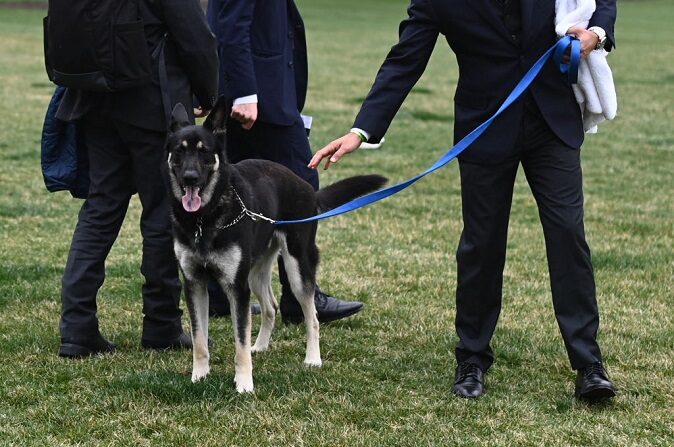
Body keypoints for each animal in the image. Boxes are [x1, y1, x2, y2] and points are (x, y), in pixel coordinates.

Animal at [163, 99, 386, 392]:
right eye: (179, 151)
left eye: (205, 152)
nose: (190, 178)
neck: (204, 218)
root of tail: (307, 188)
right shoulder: (194, 284)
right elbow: (200, 340)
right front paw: (199, 377)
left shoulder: (237, 288)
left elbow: (239, 342)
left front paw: (244, 384)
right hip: (256, 272)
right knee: (270, 307)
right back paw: (261, 346)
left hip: (296, 268)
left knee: (312, 316)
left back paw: (312, 359)